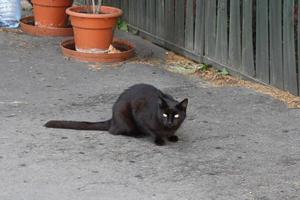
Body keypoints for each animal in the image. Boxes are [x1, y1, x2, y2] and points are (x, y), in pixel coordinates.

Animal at [45, 83, 188, 145]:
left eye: (176, 116)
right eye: (164, 115)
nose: (170, 122)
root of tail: (113, 119)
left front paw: (172, 136)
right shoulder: (140, 115)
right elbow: (152, 131)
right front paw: (159, 140)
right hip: (124, 114)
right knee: (116, 131)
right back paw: (137, 134)